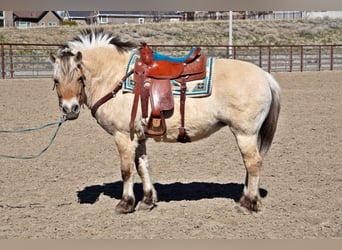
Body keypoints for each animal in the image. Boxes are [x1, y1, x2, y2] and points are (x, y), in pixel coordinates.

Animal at [50, 28, 280, 213]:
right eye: (56, 80)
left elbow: (126, 170)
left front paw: (125, 203)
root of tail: (265, 76)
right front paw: (147, 201)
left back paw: (248, 204)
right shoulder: (139, 136)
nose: (70, 109)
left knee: (253, 163)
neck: (114, 76)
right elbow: (142, 166)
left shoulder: (123, 136)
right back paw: (245, 199)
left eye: (79, 77)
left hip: (245, 133)